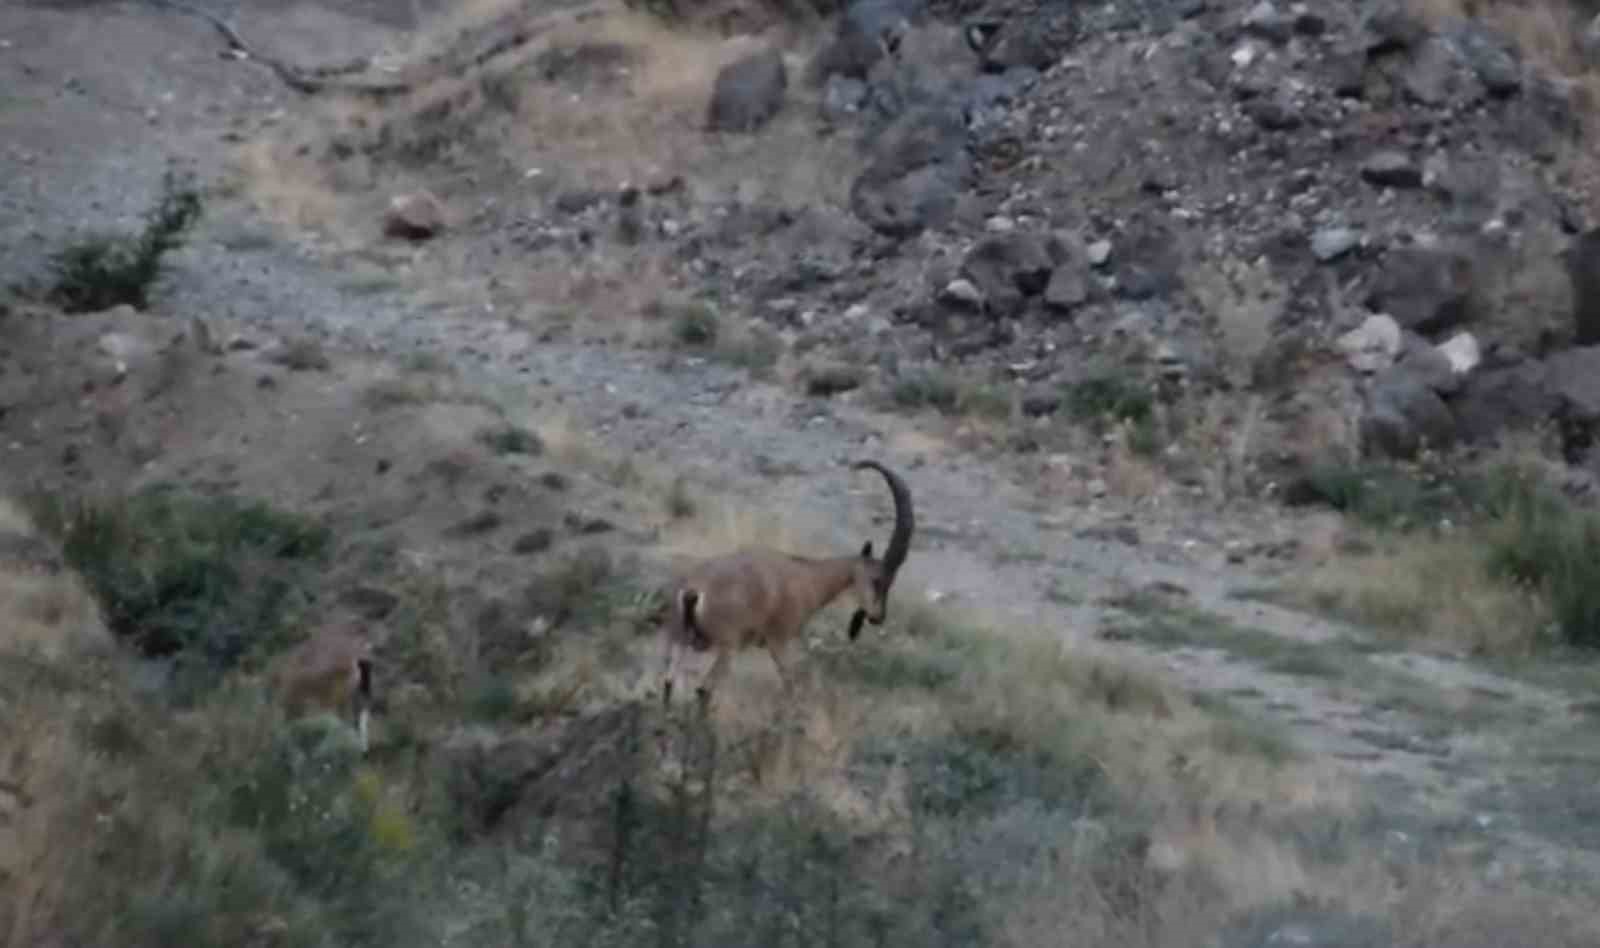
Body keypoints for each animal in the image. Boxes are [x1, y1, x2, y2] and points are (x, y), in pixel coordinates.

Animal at [659, 454, 915, 707]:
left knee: (669, 683)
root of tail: (692, 592)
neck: (807, 577)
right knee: (704, 689)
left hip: (679, 636)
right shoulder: (778, 640)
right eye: (878, 580)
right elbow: (790, 685)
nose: (878, 617)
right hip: (728, 644)